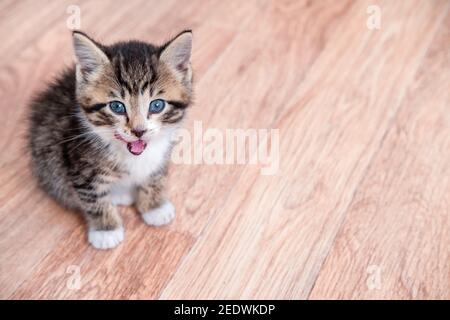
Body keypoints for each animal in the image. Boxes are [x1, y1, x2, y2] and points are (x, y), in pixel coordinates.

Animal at [27, 30, 193, 250]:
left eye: (157, 105)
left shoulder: (162, 154)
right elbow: (94, 198)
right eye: (117, 107)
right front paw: (106, 230)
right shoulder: (79, 165)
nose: (139, 131)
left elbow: (155, 176)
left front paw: (154, 206)